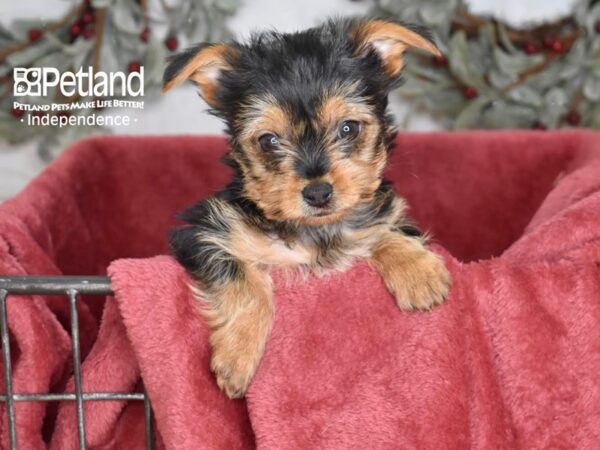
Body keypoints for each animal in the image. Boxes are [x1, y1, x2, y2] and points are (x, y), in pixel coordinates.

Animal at [162, 16, 452, 398]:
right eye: (269, 140)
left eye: (348, 128)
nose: (317, 193)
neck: (315, 232)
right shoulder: (202, 231)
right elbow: (241, 275)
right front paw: (238, 354)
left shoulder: (377, 215)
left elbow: (379, 230)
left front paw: (417, 271)